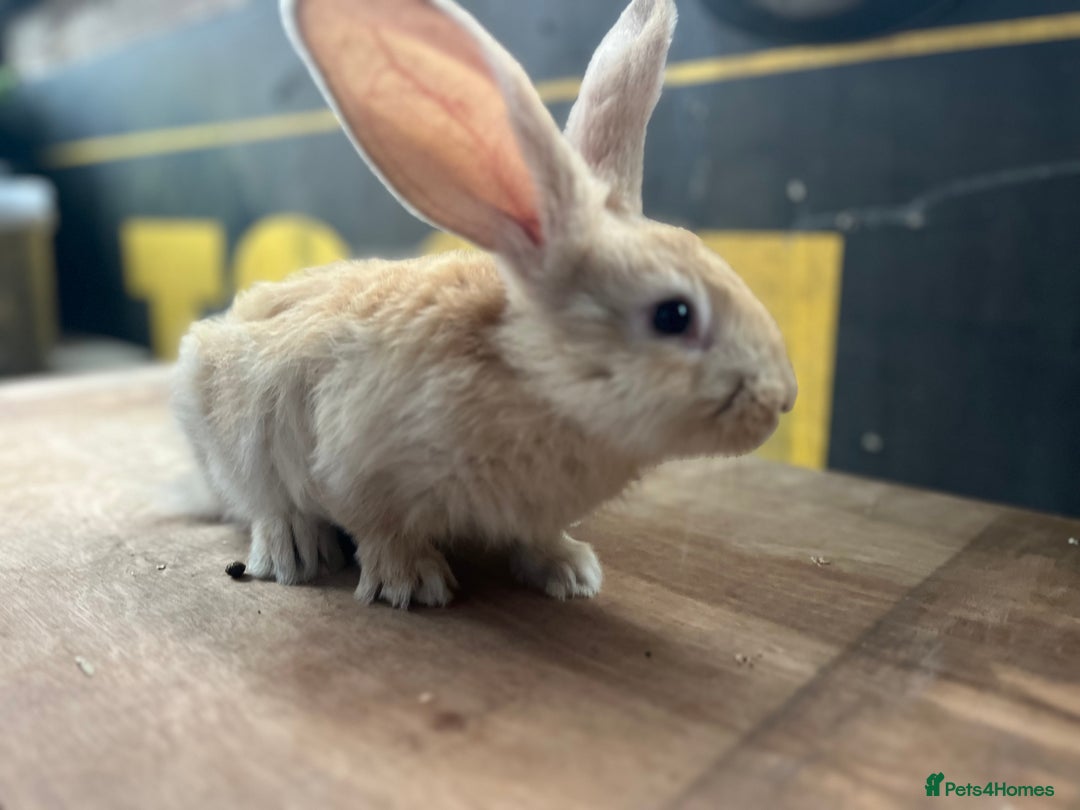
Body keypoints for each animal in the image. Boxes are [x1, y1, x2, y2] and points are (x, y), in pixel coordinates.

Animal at [171, 0, 797, 608]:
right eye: (674, 315)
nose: (783, 399)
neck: (528, 372)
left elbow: (538, 539)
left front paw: (572, 574)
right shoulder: (355, 464)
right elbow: (382, 530)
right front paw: (413, 586)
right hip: (234, 439)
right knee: (261, 505)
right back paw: (296, 552)